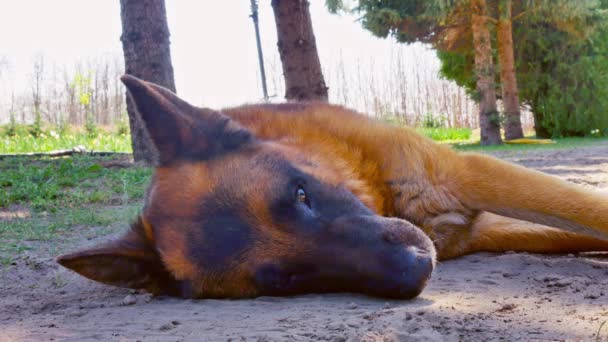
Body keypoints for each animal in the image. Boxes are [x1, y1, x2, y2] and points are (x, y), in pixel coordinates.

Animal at [58, 75, 608, 300]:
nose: (417, 269)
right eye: (282, 280)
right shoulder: (482, 230)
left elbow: (587, 209)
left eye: (301, 194)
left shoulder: (470, 175)